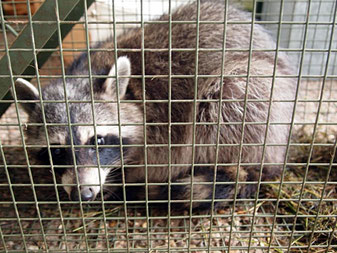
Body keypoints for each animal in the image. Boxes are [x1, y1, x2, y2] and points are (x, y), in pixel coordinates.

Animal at [12, 1, 294, 211]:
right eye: (57, 151)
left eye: (98, 140)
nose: (83, 194)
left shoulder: (162, 128)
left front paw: (120, 181)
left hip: (254, 90)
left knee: (227, 98)